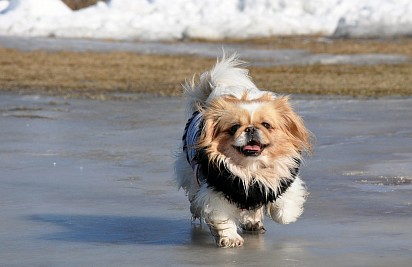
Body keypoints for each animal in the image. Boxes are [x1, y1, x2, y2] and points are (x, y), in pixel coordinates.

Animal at [175, 54, 312, 249]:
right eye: (234, 128)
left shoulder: (280, 181)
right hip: (192, 175)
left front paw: (281, 213)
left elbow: (283, 210)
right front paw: (230, 238)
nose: (250, 129)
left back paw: (253, 222)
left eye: (266, 125)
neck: (251, 168)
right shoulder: (215, 193)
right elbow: (222, 218)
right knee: (195, 197)